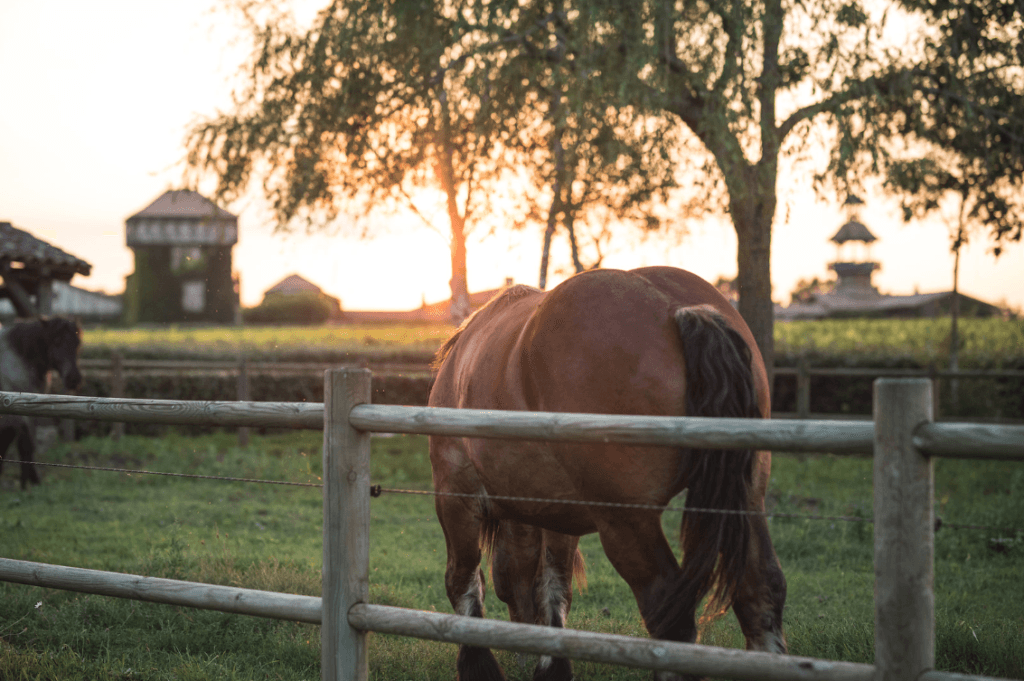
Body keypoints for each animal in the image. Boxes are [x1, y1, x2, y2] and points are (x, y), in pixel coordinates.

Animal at [0, 316, 83, 488]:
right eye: (57, 341)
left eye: (77, 342)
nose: (74, 379)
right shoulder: (13, 412)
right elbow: (15, 439)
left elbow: (25, 443)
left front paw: (30, 481)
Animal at [428, 266, 787, 681]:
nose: (522, 651)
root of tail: (677, 309)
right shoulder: (555, 509)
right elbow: (553, 585)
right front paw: (551, 664)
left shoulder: (455, 495)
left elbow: (462, 581)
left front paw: (478, 664)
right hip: (747, 502)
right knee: (761, 591)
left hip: (626, 523)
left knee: (668, 610)